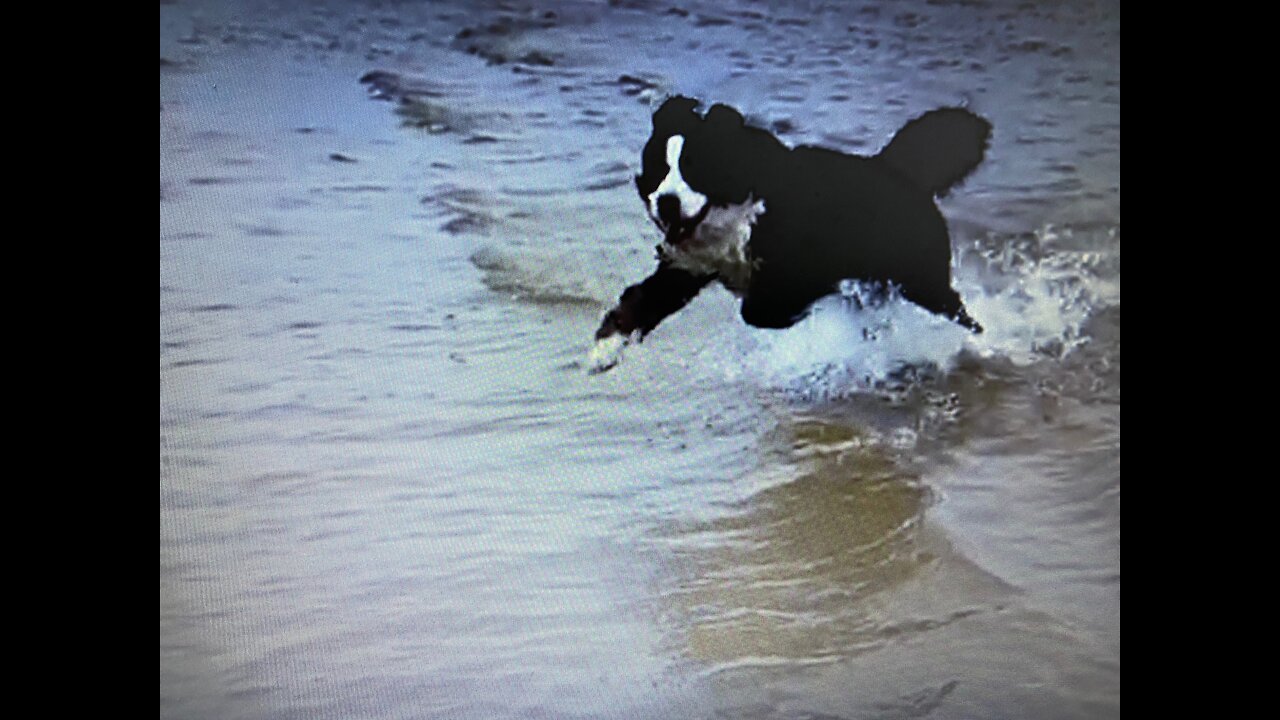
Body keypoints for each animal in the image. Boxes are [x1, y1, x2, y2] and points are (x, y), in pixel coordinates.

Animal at [588, 96, 988, 371]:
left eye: (693, 166)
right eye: (659, 167)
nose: (667, 202)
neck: (736, 213)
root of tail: (900, 171)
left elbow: (759, 310)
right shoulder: (687, 267)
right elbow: (640, 302)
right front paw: (604, 349)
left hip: (924, 281)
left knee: (961, 315)